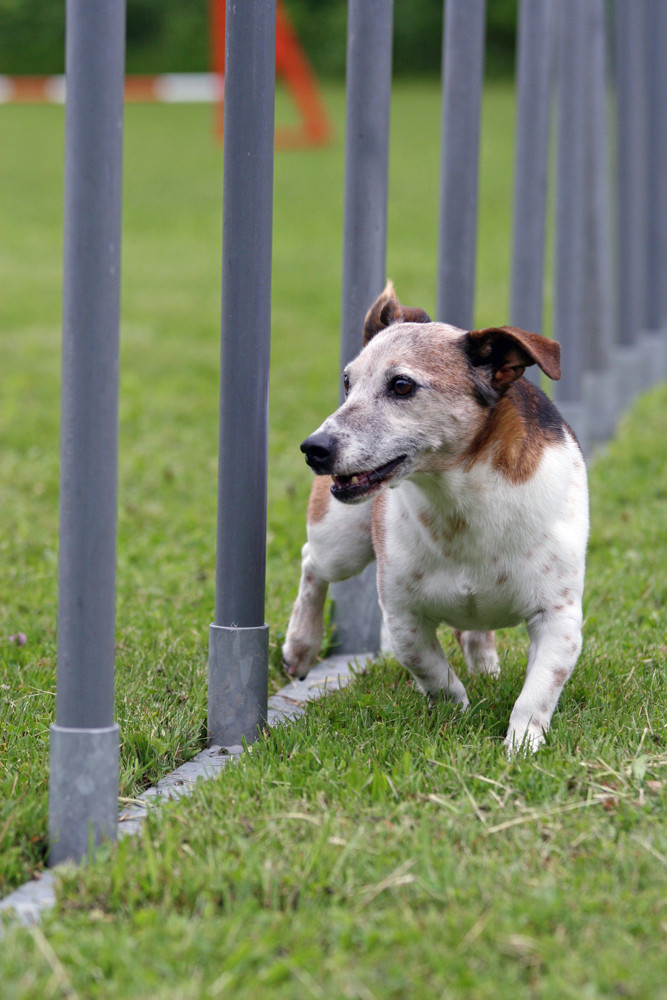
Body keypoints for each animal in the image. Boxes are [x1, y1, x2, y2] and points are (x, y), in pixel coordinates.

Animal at [284, 282, 588, 752]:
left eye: (401, 385)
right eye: (348, 382)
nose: (314, 448)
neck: (460, 502)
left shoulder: (558, 618)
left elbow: (537, 691)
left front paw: (520, 747)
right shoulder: (403, 618)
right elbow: (434, 672)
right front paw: (457, 713)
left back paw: (485, 665)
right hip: (340, 543)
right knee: (311, 564)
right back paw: (301, 644)